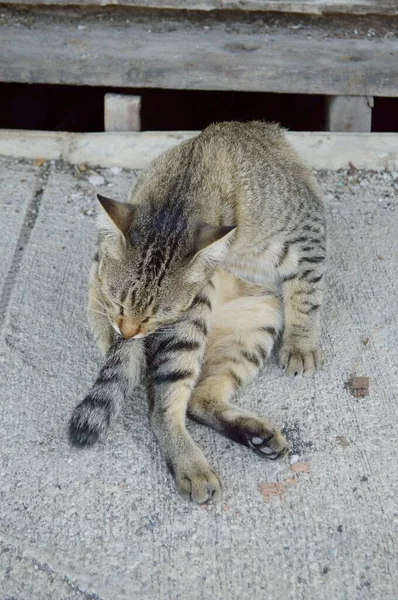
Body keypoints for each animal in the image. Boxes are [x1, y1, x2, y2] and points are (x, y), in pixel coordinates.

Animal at [69, 120, 326, 502]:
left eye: (156, 314)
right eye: (117, 302)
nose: (127, 331)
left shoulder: (307, 237)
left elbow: (306, 293)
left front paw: (300, 344)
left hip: (255, 325)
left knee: (199, 399)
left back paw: (256, 436)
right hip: (192, 321)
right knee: (163, 407)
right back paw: (192, 465)